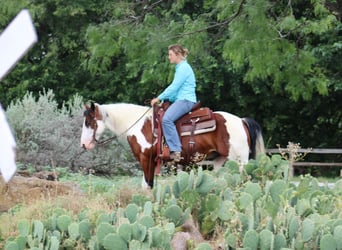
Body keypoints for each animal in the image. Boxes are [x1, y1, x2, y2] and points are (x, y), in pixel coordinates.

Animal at [80, 102, 264, 188]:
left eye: (88, 122)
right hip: (220, 162)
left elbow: (147, 186)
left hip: (239, 161)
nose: (83, 144)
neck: (140, 126)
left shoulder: (146, 159)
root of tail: (242, 121)